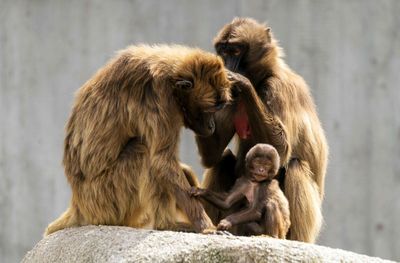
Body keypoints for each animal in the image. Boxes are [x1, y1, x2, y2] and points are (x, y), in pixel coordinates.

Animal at [44, 44, 233, 236]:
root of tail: (78, 203)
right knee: (142, 152)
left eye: (219, 108)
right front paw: (206, 227)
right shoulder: (159, 97)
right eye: (211, 110)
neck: (170, 76)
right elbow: (161, 162)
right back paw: (166, 224)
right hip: (102, 199)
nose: (212, 126)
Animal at [195, 17, 330, 243]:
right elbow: (212, 156)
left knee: (295, 165)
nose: (227, 65)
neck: (262, 78)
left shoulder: (277, 89)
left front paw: (243, 82)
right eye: (223, 51)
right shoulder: (231, 98)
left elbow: (281, 150)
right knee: (223, 160)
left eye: (235, 51)